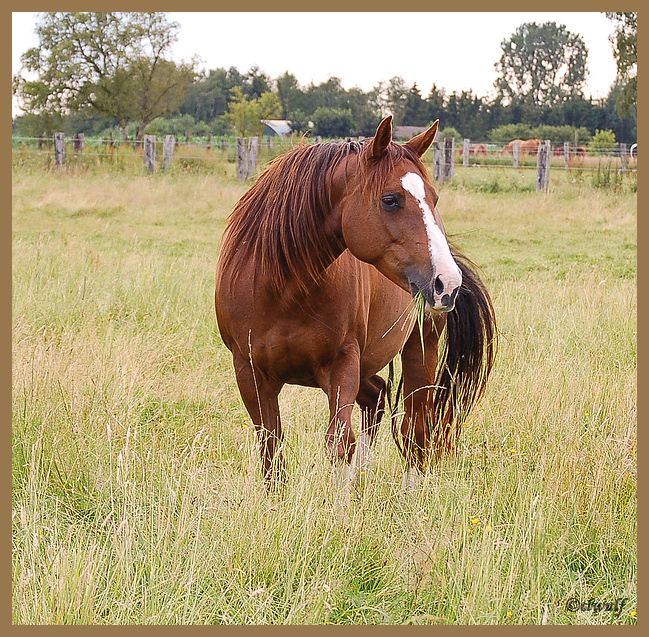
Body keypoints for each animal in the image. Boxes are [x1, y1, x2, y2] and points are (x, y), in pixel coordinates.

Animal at [215, 114, 494, 492]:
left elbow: (339, 442)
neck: (282, 288)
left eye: (434, 198)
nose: (447, 283)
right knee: (376, 398)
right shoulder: (249, 372)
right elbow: (271, 446)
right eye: (390, 199)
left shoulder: (342, 363)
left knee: (415, 430)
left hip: (421, 348)